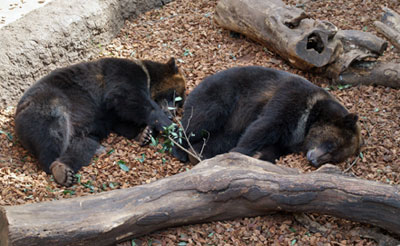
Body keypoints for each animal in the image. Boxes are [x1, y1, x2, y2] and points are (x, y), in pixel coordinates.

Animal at [14, 56, 186, 185]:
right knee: (54, 131)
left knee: (83, 145)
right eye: (175, 96)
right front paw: (169, 127)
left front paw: (145, 133)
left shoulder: (109, 114)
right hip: (48, 104)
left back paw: (66, 168)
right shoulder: (123, 75)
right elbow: (129, 98)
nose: (171, 114)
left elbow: (122, 120)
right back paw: (57, 166)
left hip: (81, 131)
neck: (149, 78)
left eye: (179, 102)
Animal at [173, 66, 362, 167]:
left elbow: (272, 149)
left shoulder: (288, 141)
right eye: (331, 144)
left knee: (218, 139)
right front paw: (239, 153)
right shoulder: (291, 98)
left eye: (335, 158)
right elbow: (263, 126)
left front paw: (258, 156)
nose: (314, 160)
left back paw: (198, 153)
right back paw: (181, 150)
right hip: (222, 96)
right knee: (200, 120)